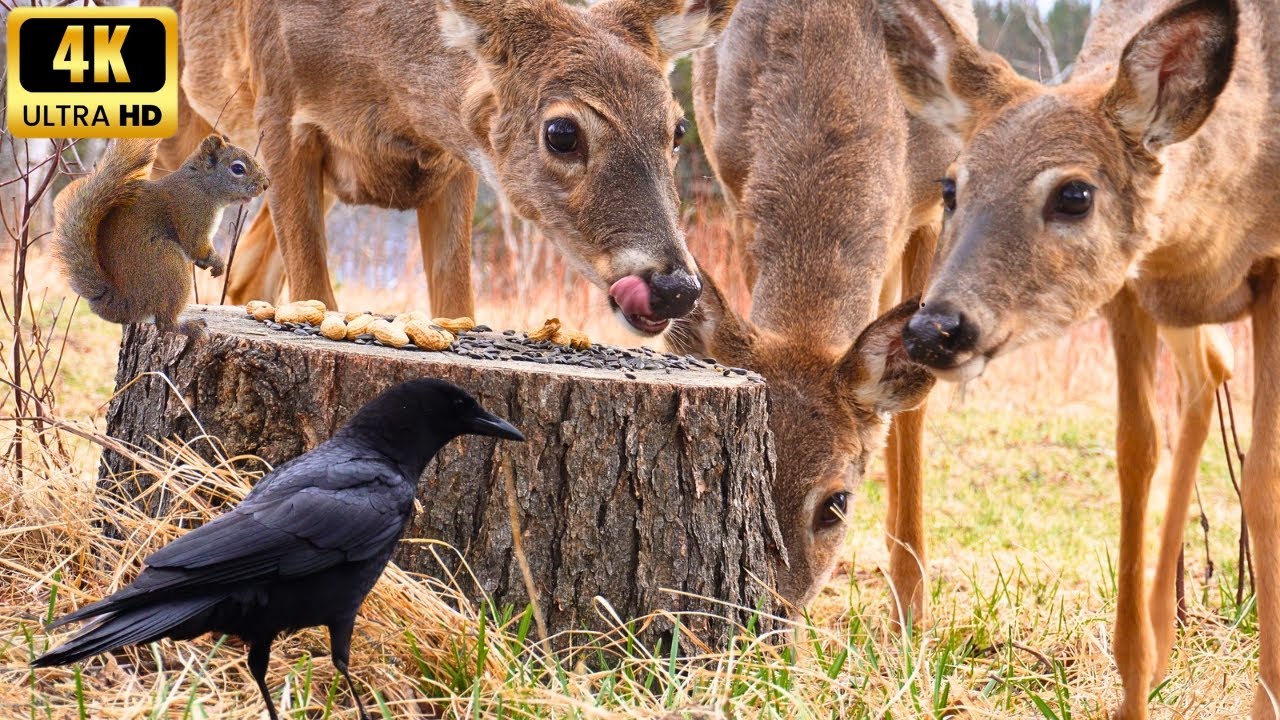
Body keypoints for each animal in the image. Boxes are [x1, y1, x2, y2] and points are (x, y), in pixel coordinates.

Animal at [146, 0, 740, 336]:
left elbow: (457, 302)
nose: (678, 287)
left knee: (250, 275)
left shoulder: (457, 161)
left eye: (677, 130)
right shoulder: (281, 111)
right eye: (562, 132)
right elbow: (316, 290)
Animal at [669, 0, 976, 613]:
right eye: (741, 488)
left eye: (835, 503)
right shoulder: (736, 191)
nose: (766, 624)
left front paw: (913, 615)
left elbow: (911, 417)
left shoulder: (936, 203)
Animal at [876, 0, 1276, 716]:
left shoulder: (1274, 269)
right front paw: (1138, 673)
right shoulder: (1131, 284)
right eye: (950, 187)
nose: (933, 328)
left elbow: (1263, 477)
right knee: (1209, 369)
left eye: (1074, 195)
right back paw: (1166, 630)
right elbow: (1136, 451)